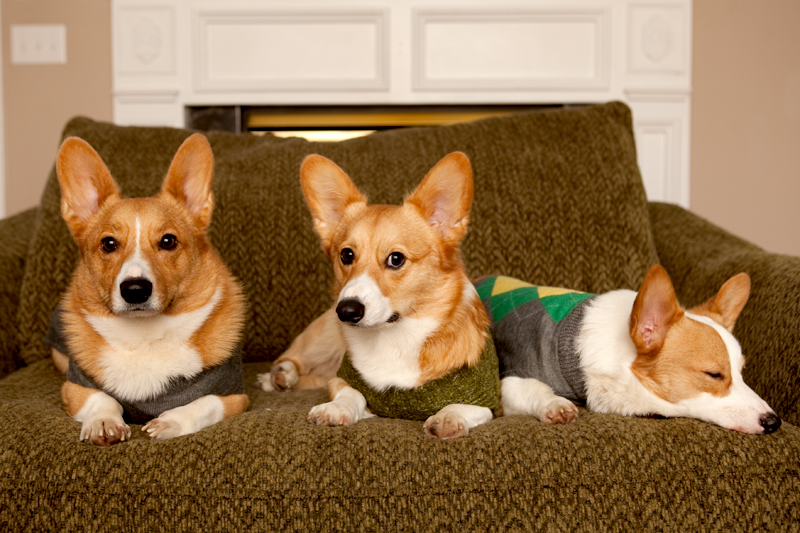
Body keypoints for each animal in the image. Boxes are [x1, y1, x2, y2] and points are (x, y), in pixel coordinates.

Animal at [50, 133, 247, 444]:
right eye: (108, 243)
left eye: (168, 241)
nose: (135, 290)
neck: (144, 337)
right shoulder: (75, 388)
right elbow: (102, 399)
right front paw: (104, 422)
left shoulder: (233, 396)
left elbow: (204, 403)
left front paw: (171, 421)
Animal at [260, 153, 496, 436]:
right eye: (346, 255)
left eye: (396, 259)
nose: (346, 311)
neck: (395, 335)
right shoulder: (342, 378)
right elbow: (351, 394)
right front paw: (336, 409)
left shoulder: (488, 402)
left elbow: (462, 406)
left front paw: (448, 418)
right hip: (322, 339)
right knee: (291, 358)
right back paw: (281, 375)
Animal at [482, 264, 780, 434]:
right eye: (714, 375)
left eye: (742, 372)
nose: (774, 422)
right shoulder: (509, 381)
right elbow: (534, 388)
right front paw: (555, 404)